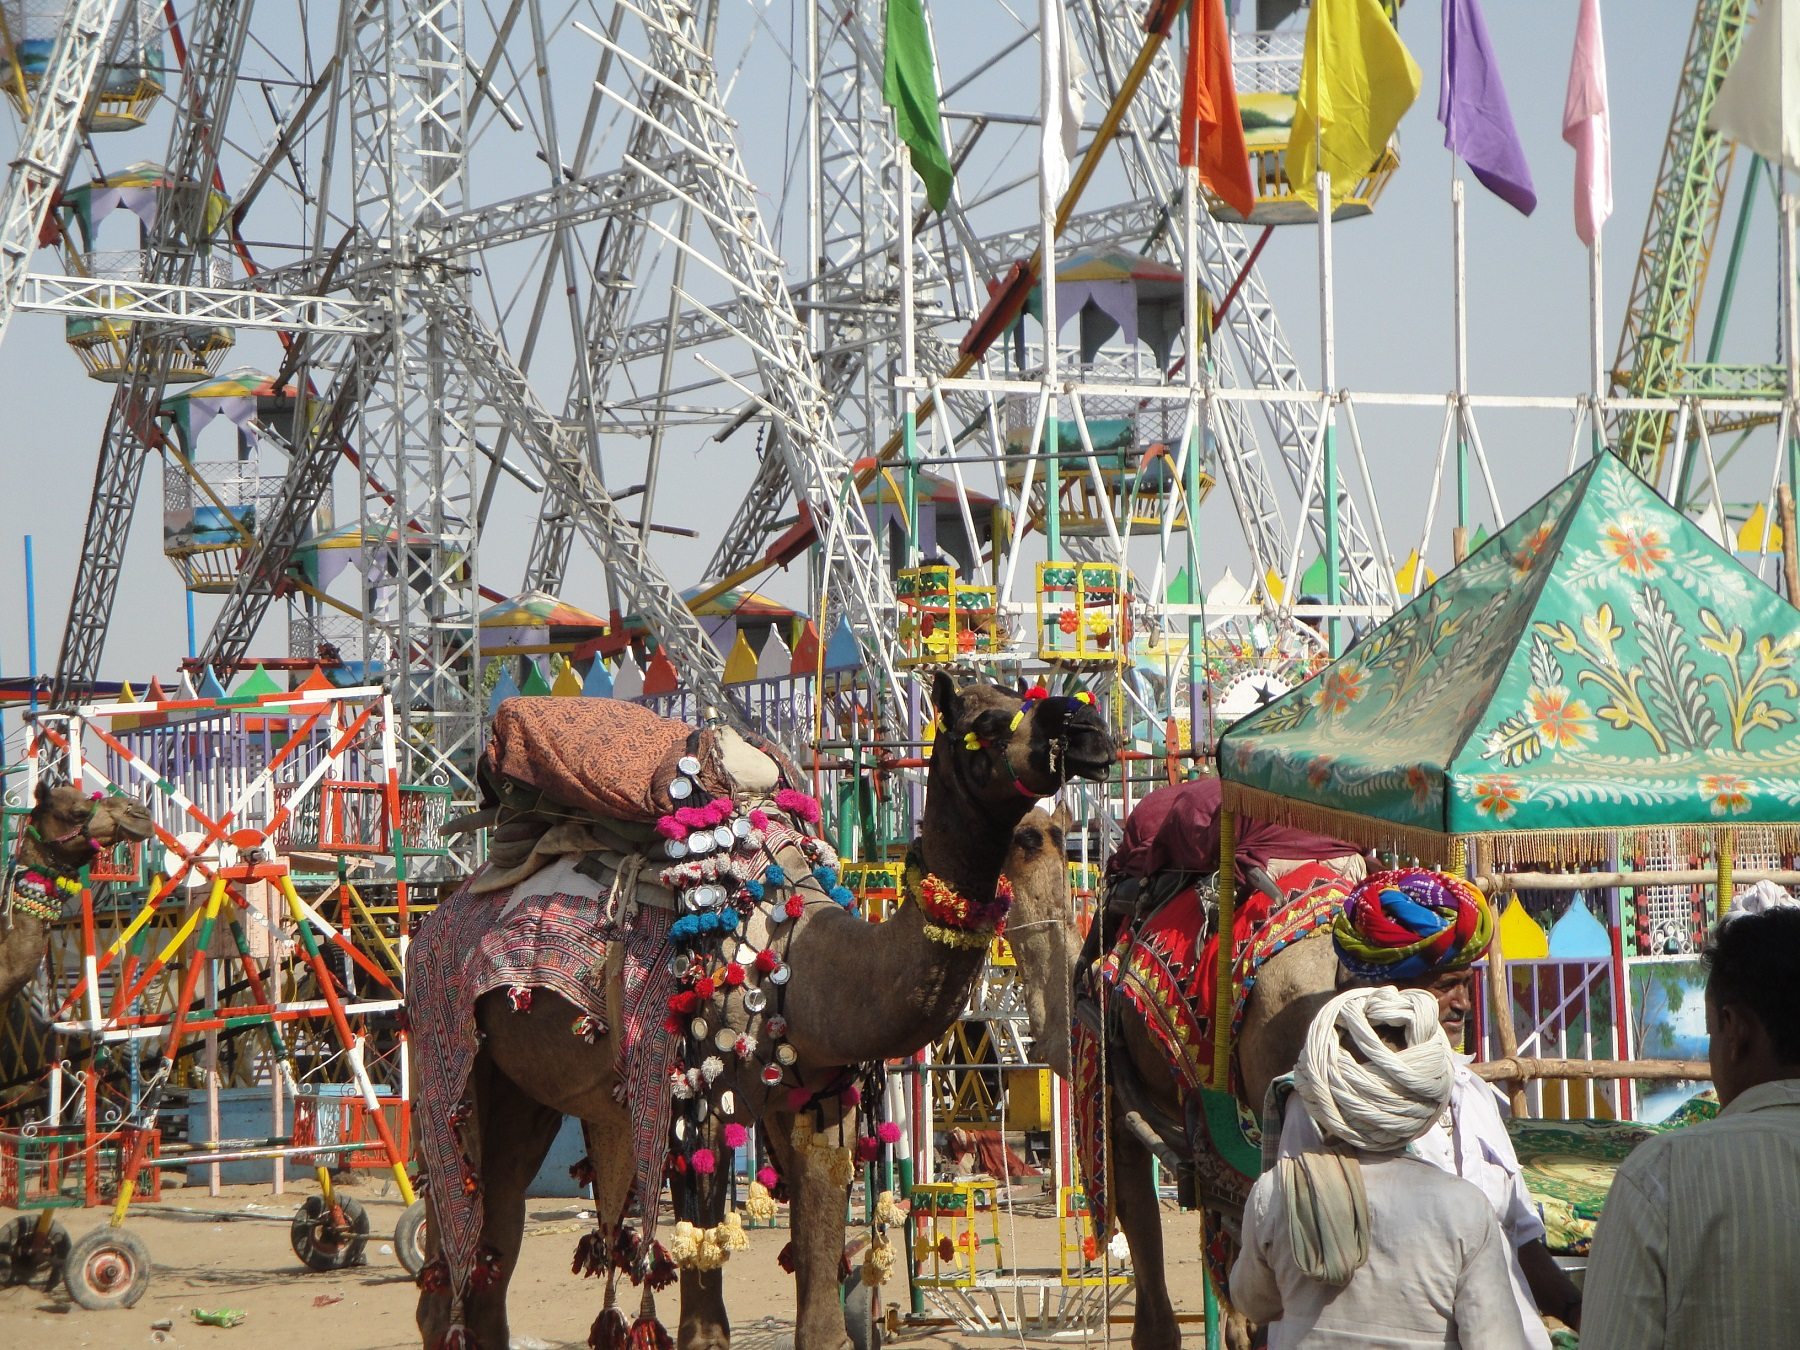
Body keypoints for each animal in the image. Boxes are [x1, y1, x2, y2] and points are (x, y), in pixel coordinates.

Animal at [408, 680, 1108, 1350]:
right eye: (986, 721)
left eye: (1024, 695)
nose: (1088, 729)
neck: (801, 956)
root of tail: (435, 918)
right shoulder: (697, 1108)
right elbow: (704, 1329)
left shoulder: (822, 1107)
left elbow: (823, 1324)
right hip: (447, 1060)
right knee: (458, 1236)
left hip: (526, 1093)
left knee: (493, 1246)